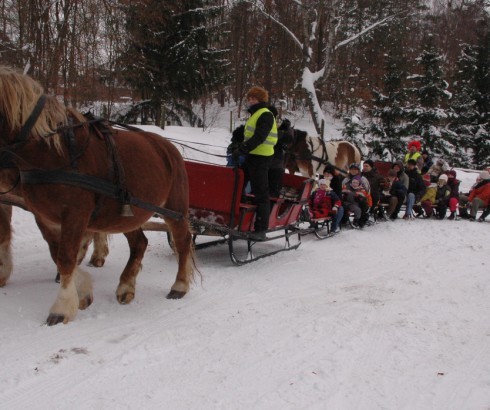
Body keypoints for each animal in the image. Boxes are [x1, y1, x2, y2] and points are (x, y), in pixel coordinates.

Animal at [0, 66, 195, 325]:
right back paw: (126, 286)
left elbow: (65, 257)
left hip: (174, 210)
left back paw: (179, 285)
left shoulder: (74, 215)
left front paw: (61, 308)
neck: (52, 152)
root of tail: (169, 148)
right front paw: (82, 291)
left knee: (183, 241)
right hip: (127, 213)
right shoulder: (44, 217)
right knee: (139, 243)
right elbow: (58, 254)